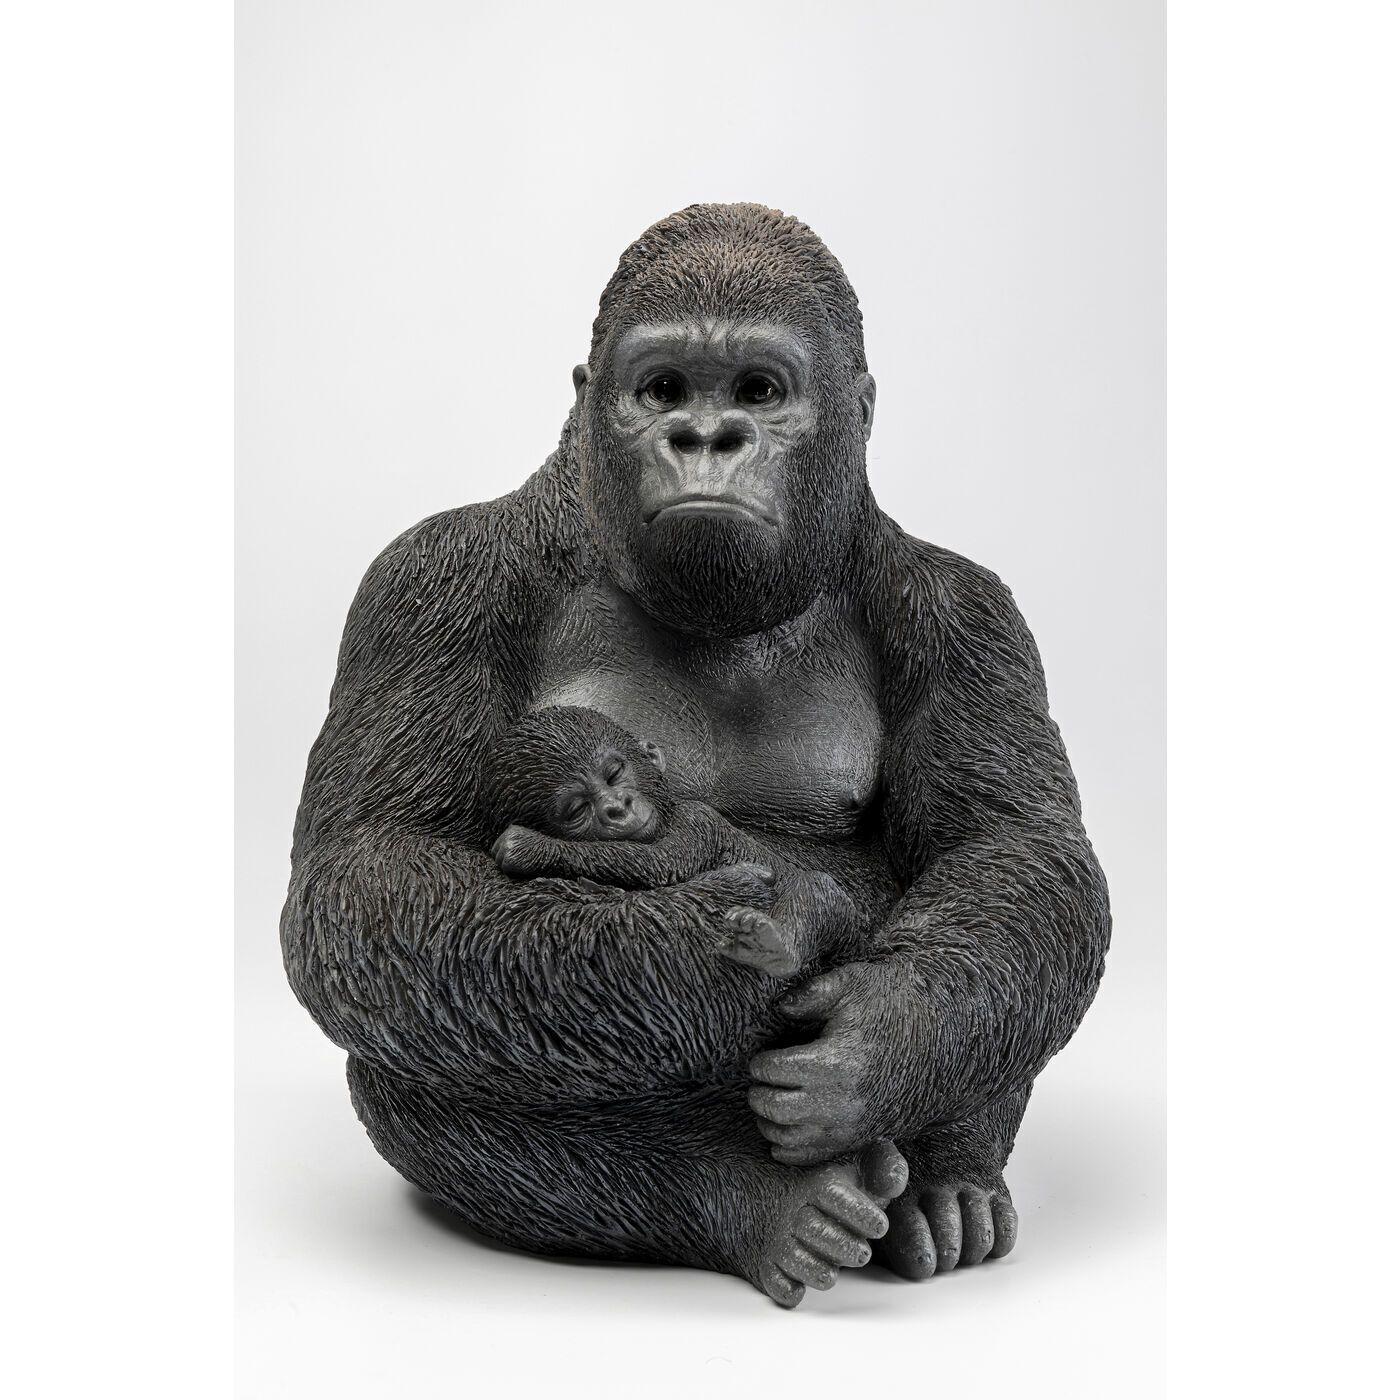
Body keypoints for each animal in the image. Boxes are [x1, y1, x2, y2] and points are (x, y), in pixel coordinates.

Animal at [479, 704, 864, 978]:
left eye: (614, 774)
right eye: (577, 809)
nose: (617, 807)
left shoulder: (697, 819)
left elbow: (663, 862)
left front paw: (528, 846)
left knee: (819, 891)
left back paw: (776, 947)